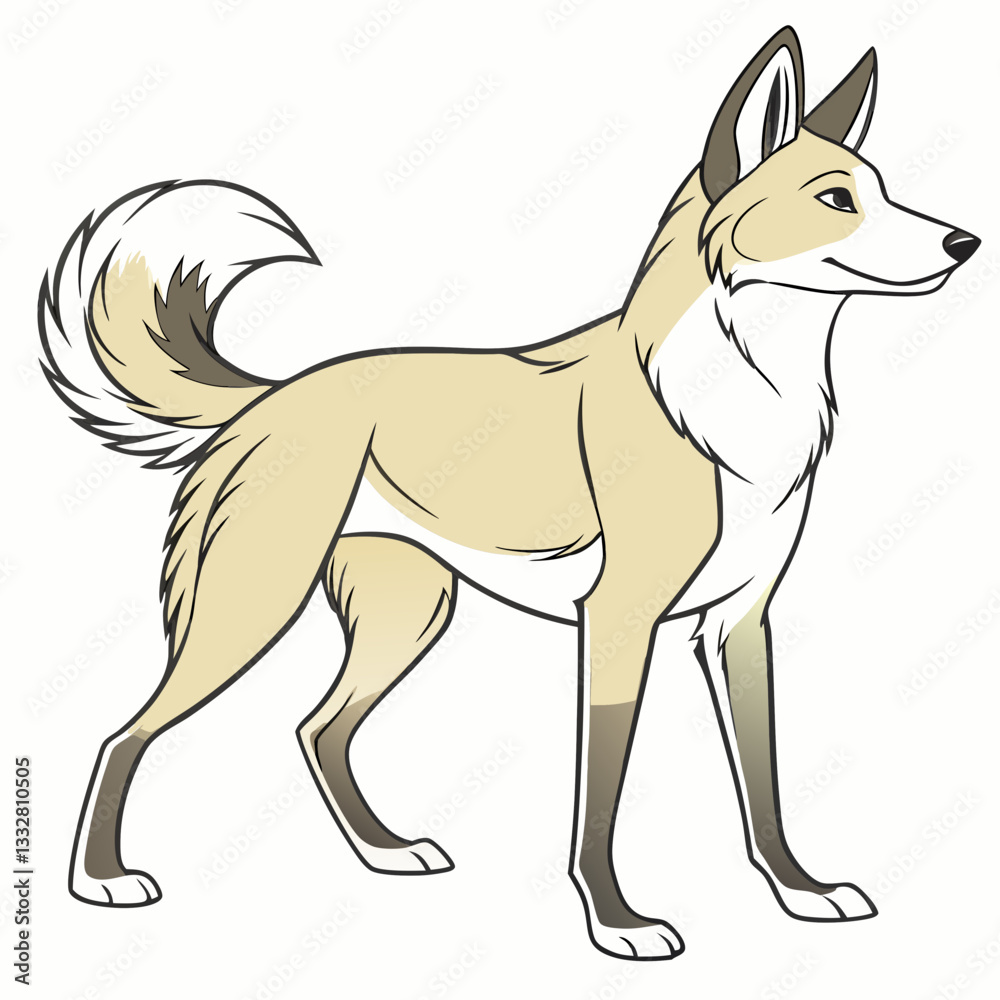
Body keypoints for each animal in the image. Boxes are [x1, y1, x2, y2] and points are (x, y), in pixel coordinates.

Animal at [39, 26, 979, 960]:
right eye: (836, 199)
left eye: (885, 192)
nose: (965, 244)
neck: (728, 395)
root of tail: (273, 394)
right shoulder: (619, 622)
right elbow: (601, 793)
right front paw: (617, 921)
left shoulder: (739, 624)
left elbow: (765, 784)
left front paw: (799, 893)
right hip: (252, 607)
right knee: (127, 732)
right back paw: (101, 879)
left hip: (408, 614)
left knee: (318, 727)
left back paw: (385, 852)